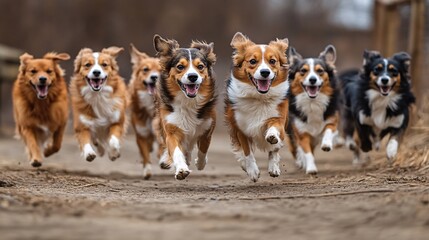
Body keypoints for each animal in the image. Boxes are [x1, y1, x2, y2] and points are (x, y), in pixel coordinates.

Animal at [152, 34, 216, 180]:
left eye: (200, 66)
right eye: (180, 66)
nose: (193, 76)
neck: (188, 102)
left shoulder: (208, 127)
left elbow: (203, 148)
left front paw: (200, 163)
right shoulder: (171, 129)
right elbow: (176, 150)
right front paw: (181, 169)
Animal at [222, 32, 290, 182]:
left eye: (272, 61)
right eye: (253, 61)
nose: (265, 72)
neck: (259, 97)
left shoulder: (279, 117)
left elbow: (274, 131)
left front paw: (271, 135)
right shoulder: (240, 128)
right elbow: (247, 152)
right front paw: (252, 171)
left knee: (274, 149)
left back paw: (274, 167)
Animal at [286, 45, 340, 174]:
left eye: (320, 71)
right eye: (303, 71)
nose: (312, 80)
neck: (312, 103)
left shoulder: (332, 121)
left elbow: (328, 131)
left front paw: (326, 144)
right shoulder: (302, 133)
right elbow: (307, 152)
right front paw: (311, 168)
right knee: (295, 149)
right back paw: (300, 162)